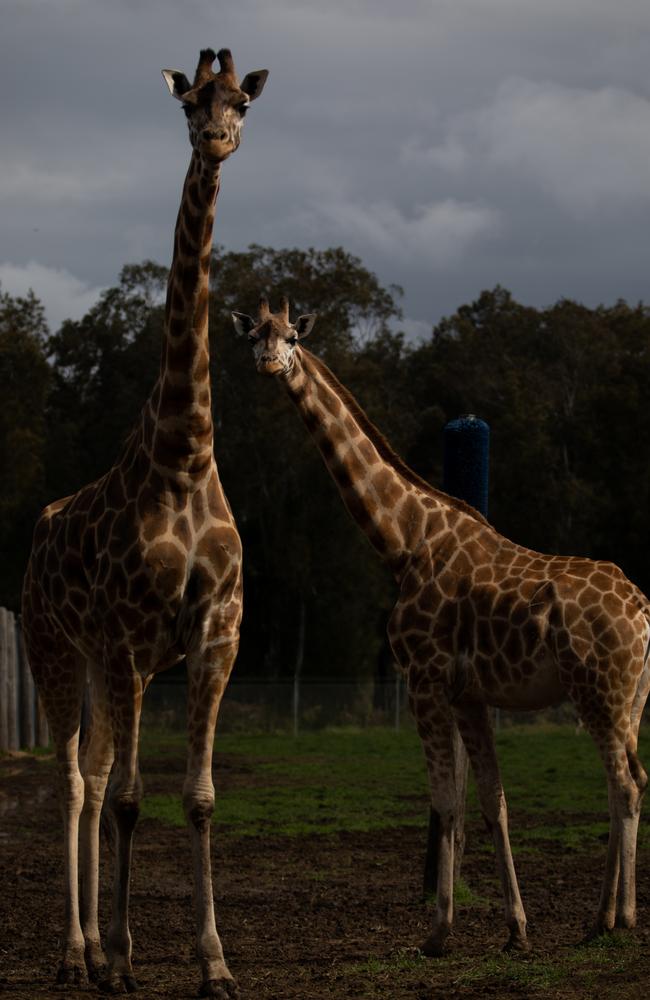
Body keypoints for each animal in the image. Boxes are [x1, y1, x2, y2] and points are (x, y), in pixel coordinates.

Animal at [22, 48, 266, 1000]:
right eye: (189, 102)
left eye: (241, 102)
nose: (219, 139)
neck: (184, 456)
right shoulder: (128, 635)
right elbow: (130, 797)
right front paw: (126, 958)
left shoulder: (214, 631)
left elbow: (195, 797)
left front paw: (215, 963)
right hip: (56, 648)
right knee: (72, 781)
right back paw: (74, 953)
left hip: (93, 662)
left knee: (89, 776)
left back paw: (90, 948)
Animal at [233, 300, 648, 956]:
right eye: (253, 335)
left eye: (294, 335)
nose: (270, 363)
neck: (403, 542)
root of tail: (644, 612)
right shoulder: (469, 694)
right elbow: (492, 802)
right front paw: (515, 930)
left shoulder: (423, 679)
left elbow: (446, 802)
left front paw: (438, 933)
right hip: (629, 698)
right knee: (629, 782)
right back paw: (622, 915)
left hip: (599, 692)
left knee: (624, 786)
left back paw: (603, 919)